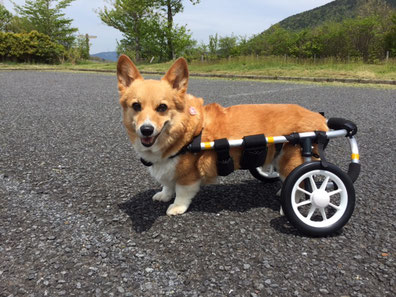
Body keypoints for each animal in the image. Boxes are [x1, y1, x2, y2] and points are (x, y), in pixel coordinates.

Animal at [116, 53, 326, 215]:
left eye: (162, 107)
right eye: (136, 106)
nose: (146, 129)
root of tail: (319, 118)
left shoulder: (188, 175)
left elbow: (182, 192)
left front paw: (176, 207)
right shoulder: (168, 168)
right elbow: (167, 183)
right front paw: (164, 195)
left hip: (291, 160)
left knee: (300, 183)